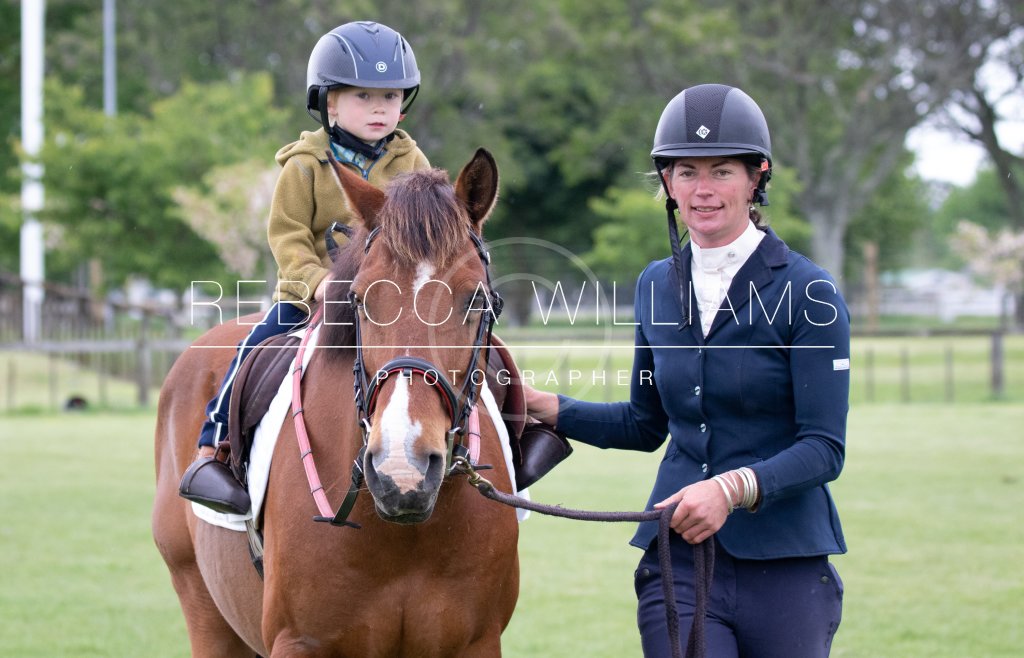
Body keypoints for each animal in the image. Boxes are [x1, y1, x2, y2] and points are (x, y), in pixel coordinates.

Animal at [152, 149, 520, 657]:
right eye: (360, 299)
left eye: (475, 300)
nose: (402, 469)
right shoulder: (300, 643)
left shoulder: (476, 643)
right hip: (203, 610)